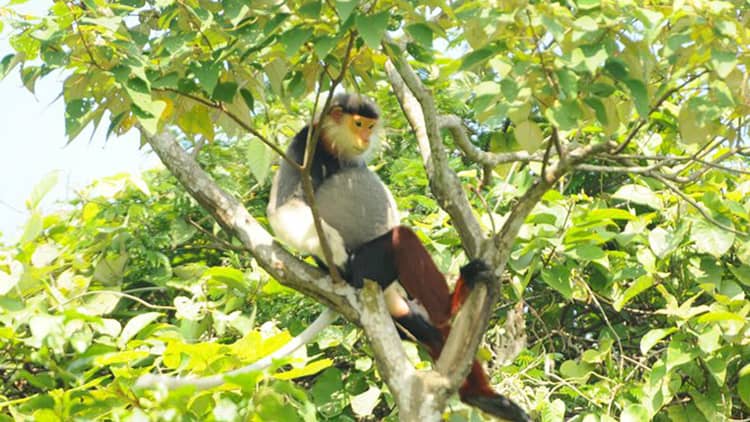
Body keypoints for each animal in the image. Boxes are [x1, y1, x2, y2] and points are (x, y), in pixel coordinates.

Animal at [267, 93, 530, 421]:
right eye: (358, 124)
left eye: (369, 126)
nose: (366, 138)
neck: (330, 144)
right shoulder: (303, 145)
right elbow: (281, 211)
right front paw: (336, 249)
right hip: (366, 270)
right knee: (401, 241)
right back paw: (452, 301)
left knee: (431, 331)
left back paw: (480, 397)